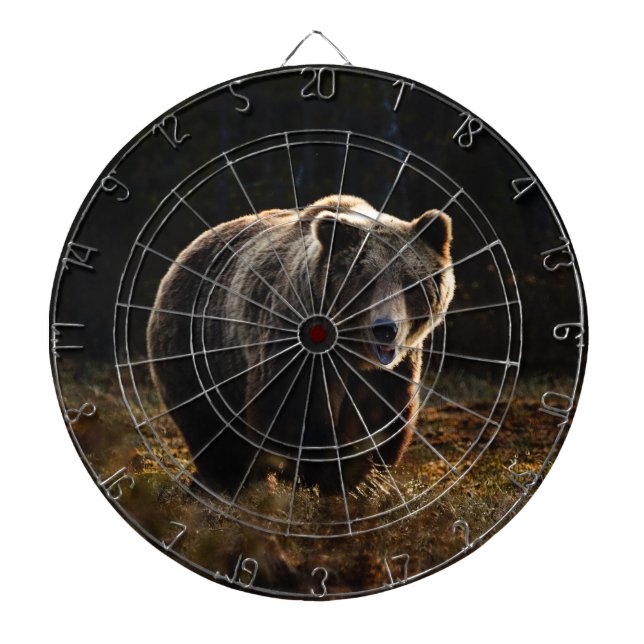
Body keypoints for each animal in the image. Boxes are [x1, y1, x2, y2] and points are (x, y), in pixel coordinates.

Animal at [146, 194, 455, 496]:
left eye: (410, 284)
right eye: (367, 282)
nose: (385, 329)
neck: (351, 351)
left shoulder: (390, 372)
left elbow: (379, 418)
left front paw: (361, 479)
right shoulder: (295, 346)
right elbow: (293, 416)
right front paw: (325, 475)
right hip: (197, 348)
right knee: (211, 428)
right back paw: (223, 483)